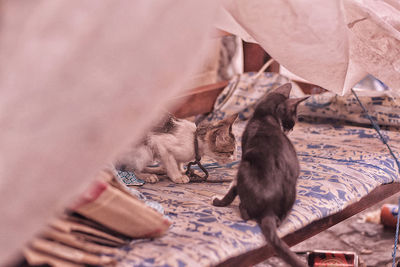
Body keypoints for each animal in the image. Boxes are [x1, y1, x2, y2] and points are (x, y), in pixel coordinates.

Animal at [214, 84, 308, 267]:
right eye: (290, 123)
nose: (290, 130)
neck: (265, 118)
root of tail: (268, 211)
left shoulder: (243, 153)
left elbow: (231, 188)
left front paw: (219, 201)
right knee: (280, 220)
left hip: (245, 166)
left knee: (245, 210)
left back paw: (241, 209)